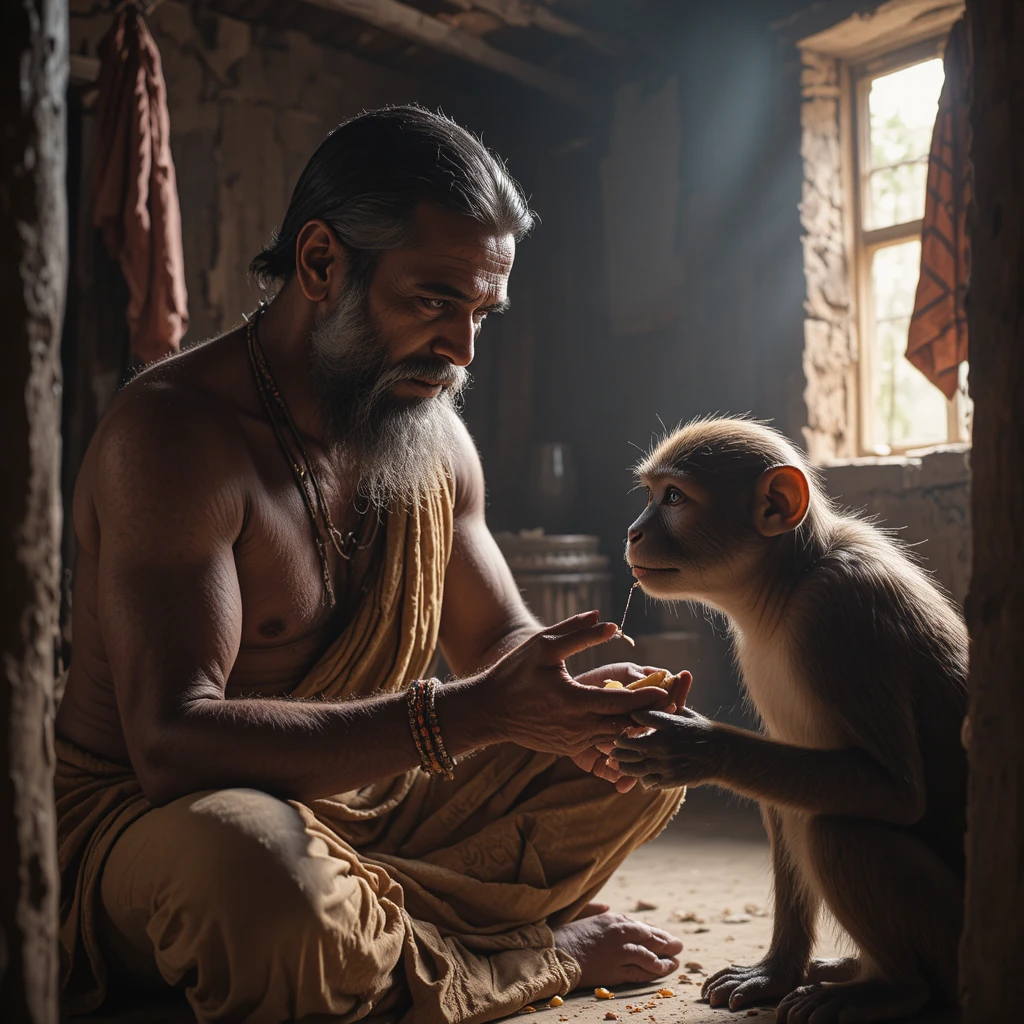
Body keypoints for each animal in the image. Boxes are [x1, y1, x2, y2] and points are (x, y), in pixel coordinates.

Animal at [609, 417, 967, 1023]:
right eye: (649, 495)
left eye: (673, 498)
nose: (632, 531)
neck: (790, 582)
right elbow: (782, 806)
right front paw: (775, 972)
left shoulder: (838, 609)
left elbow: (895, 790)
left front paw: (695, 747)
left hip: (954, 934)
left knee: (836, 830)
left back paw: (892, 990)